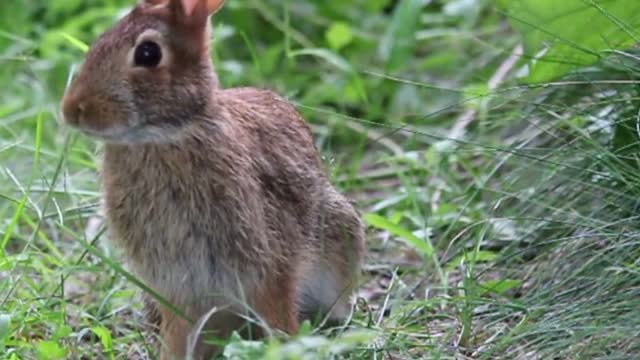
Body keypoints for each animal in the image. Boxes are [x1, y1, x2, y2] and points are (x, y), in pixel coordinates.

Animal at [62, 0, 368, 358]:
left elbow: (277, 310)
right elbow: (179, 334)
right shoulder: (175, 286)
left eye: (148, 54)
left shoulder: (268, 262)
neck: (167, 135)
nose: (72, 110)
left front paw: (286, 346)